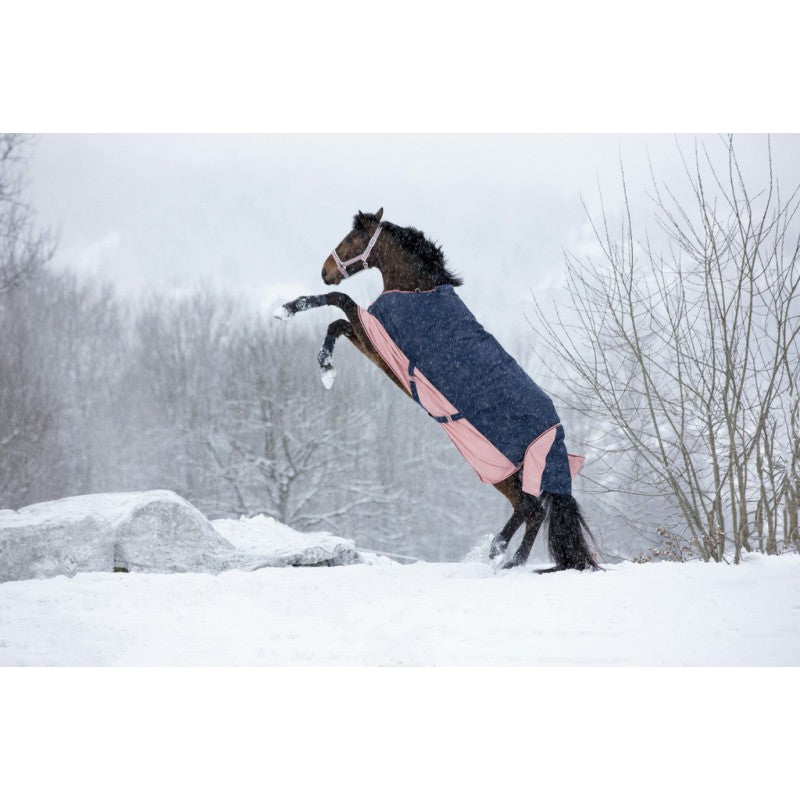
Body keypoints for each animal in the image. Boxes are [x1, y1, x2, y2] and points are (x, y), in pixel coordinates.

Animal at [274, 208, 599, 572]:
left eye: (353, 237)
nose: (325, 271)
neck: (416, 290)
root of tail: (556, 433)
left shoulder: (377, 342)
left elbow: (339, 302)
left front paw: (290, 313)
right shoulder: (375, 347)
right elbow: (337, 323)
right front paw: (325, 367)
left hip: (499, 470)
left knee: (532, 509)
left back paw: (500, 552)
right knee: (532, 512)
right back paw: (508, 560)